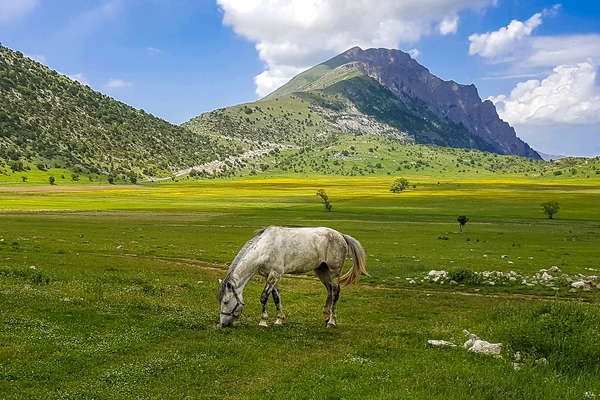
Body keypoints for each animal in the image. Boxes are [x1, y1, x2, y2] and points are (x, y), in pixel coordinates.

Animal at [216, 227, 366, 326]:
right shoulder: (271, 276)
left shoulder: (274, 274)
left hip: (334, 272)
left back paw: (332, 321)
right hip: (321, 271)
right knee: (329, 290)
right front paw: (279, 319)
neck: (265, 248)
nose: (223, 324)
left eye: (226, 302)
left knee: (335, 293)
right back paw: (325, 316)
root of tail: (341, 235)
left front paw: (263, 321)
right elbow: (276, 297)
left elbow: (264, 297)